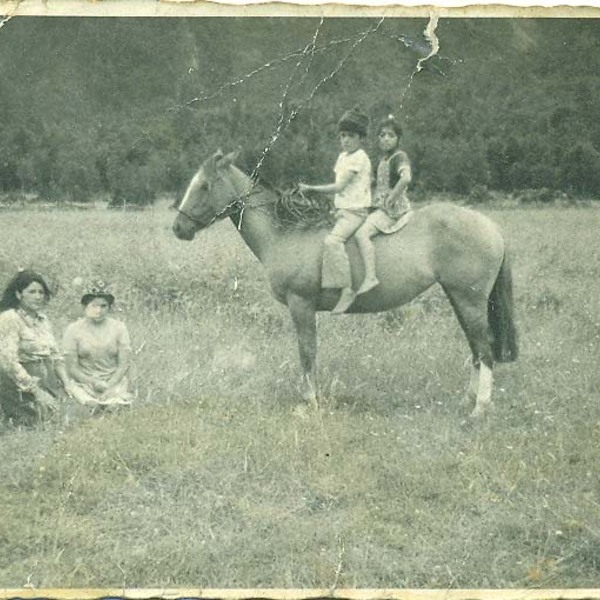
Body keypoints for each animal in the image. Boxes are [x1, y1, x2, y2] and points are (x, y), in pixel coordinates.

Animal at [171, 149, 516, 418]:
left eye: (203, 185)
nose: (178, 228)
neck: (287, 231)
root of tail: (492, 226)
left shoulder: (301, 304)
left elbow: (307, 351)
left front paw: (310, 401)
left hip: (469, 300)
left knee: (484, 350)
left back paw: (479, 409)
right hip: (459, 299)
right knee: (476, 350)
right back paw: (467, 402)